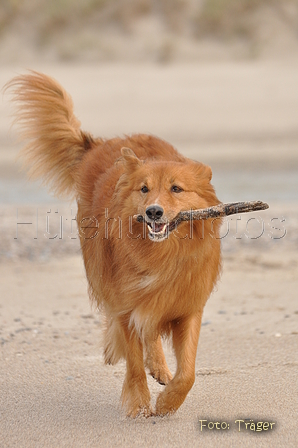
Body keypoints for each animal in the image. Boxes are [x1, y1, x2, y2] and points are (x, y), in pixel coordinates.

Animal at [6, 72, 221, 418]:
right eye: (144, 189)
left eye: (176, 189)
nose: (153, 212)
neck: (161, 255)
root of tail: (99, 143)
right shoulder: (126, 305)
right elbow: (133, 360)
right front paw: (140, 406)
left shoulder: (186, 306)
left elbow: (188, 371)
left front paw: (168, 401)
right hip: (97, 264)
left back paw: (160, 367)